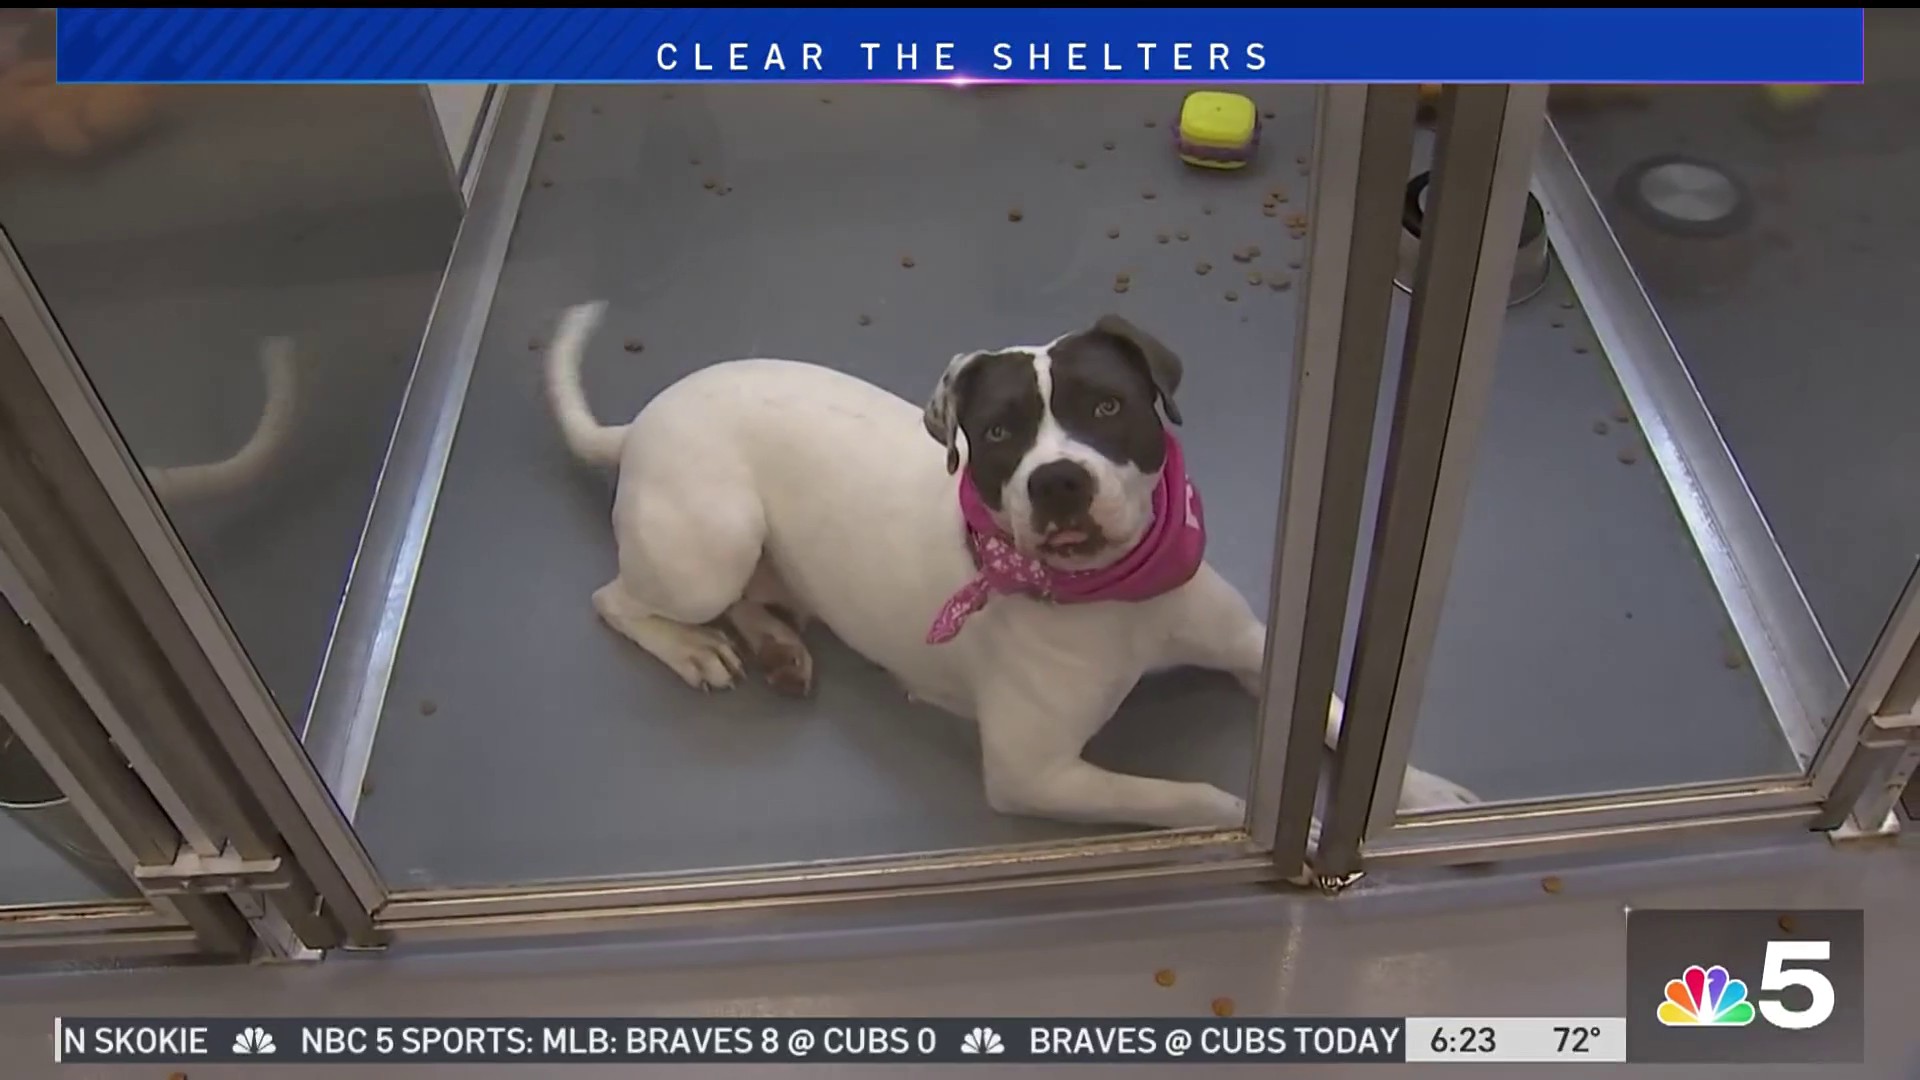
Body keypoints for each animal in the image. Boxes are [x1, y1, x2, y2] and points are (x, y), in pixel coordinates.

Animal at [549, 305, 1474, 834]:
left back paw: (775, 643)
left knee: (747, 596)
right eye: (997, 432)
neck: (1115, 595)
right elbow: (1194, 796)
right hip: (710, 543)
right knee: (614, 597)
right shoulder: (1036, 773)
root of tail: (643, 420)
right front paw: (1269, 825)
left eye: (1108, 406)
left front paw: (1413, 791)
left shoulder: (1254, 649)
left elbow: (1334, 712)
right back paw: (695, 647)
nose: (1058, 480)